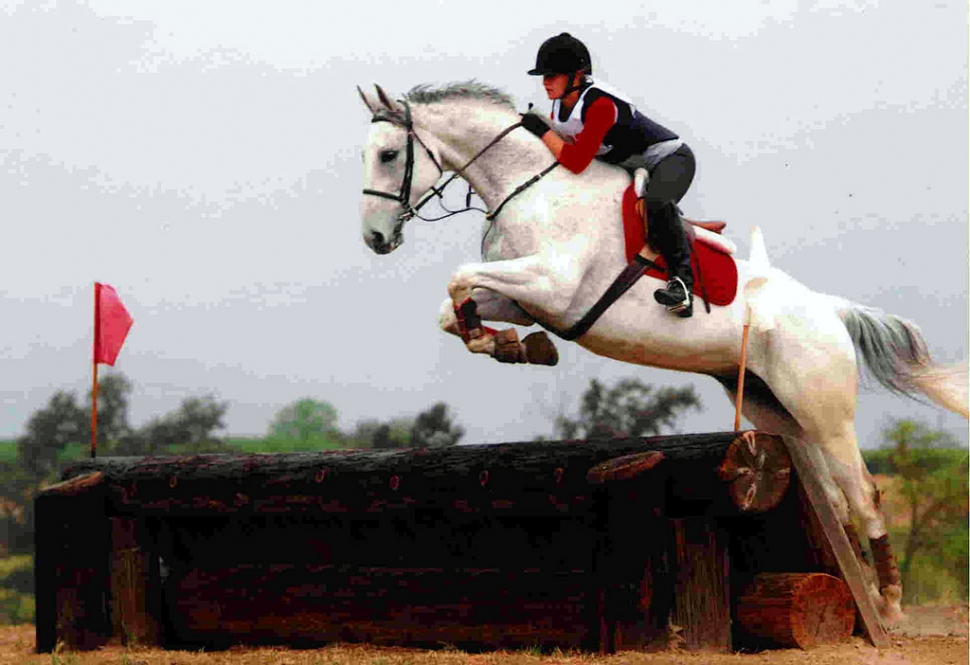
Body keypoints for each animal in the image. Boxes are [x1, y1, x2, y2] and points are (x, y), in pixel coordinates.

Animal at [358, 80, 968, 620]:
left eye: (388, 154)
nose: (374, 240)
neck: (529, 186)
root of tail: (830, 311)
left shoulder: (552, 285)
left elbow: (459, 278)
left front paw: (508, 343)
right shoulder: (528, 298)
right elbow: (455, 306)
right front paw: (509, 344)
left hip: (824, 411)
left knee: (863, 493)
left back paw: (889, 605)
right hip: (777, 409)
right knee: (835, 498)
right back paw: (857, 587)